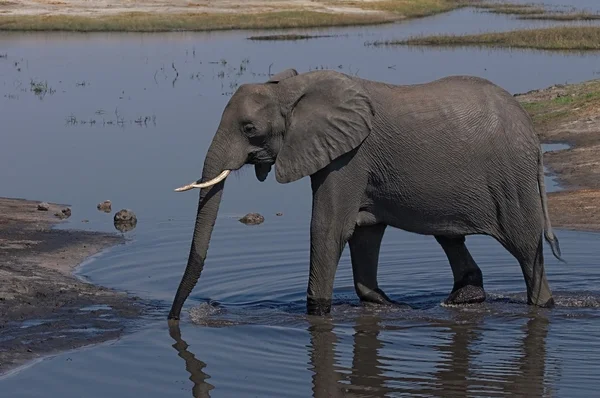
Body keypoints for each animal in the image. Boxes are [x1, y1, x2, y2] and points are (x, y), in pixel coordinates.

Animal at [166, 68, 564, 320]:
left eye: (249, 129)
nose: (175, 317)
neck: (290, 90)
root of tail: (532, 132)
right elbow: (363, 231)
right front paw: (385, 305)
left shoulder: (350, 156)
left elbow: (328, 228)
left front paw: (317, 312)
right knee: (450, 237)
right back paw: (462, 300)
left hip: (511, 179)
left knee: (525, 247)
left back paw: (541, 304)